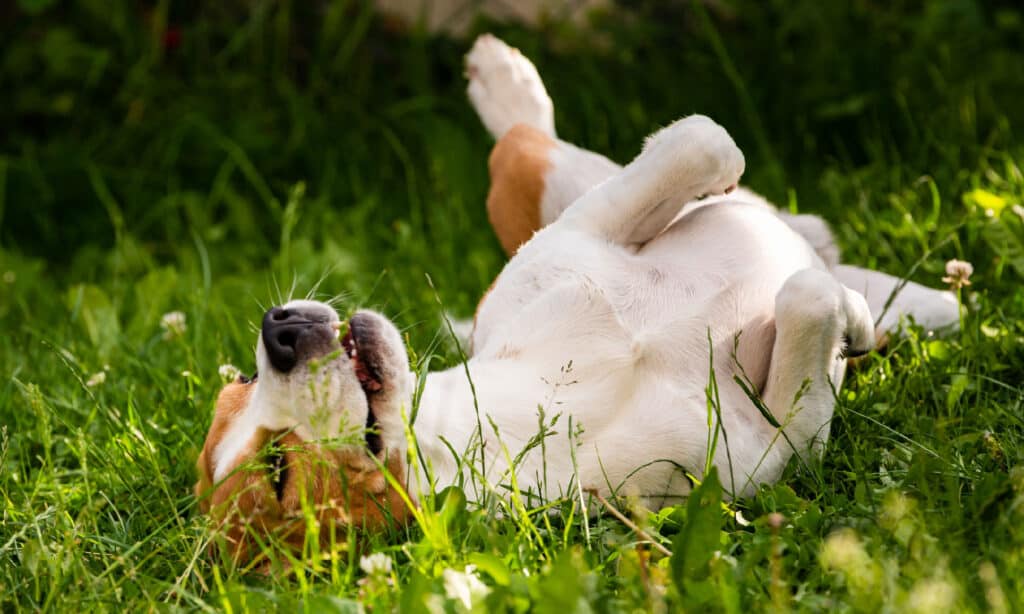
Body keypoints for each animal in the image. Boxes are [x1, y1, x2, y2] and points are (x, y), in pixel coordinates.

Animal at [192, 33, 958, 560]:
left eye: (240, 381)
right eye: (277, 469)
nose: (278, 329)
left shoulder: (583, 232)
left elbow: (703, 142)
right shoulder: (776, 446)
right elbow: (807, 299)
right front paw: (846, 323)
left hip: (567, 192)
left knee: (539, 149)